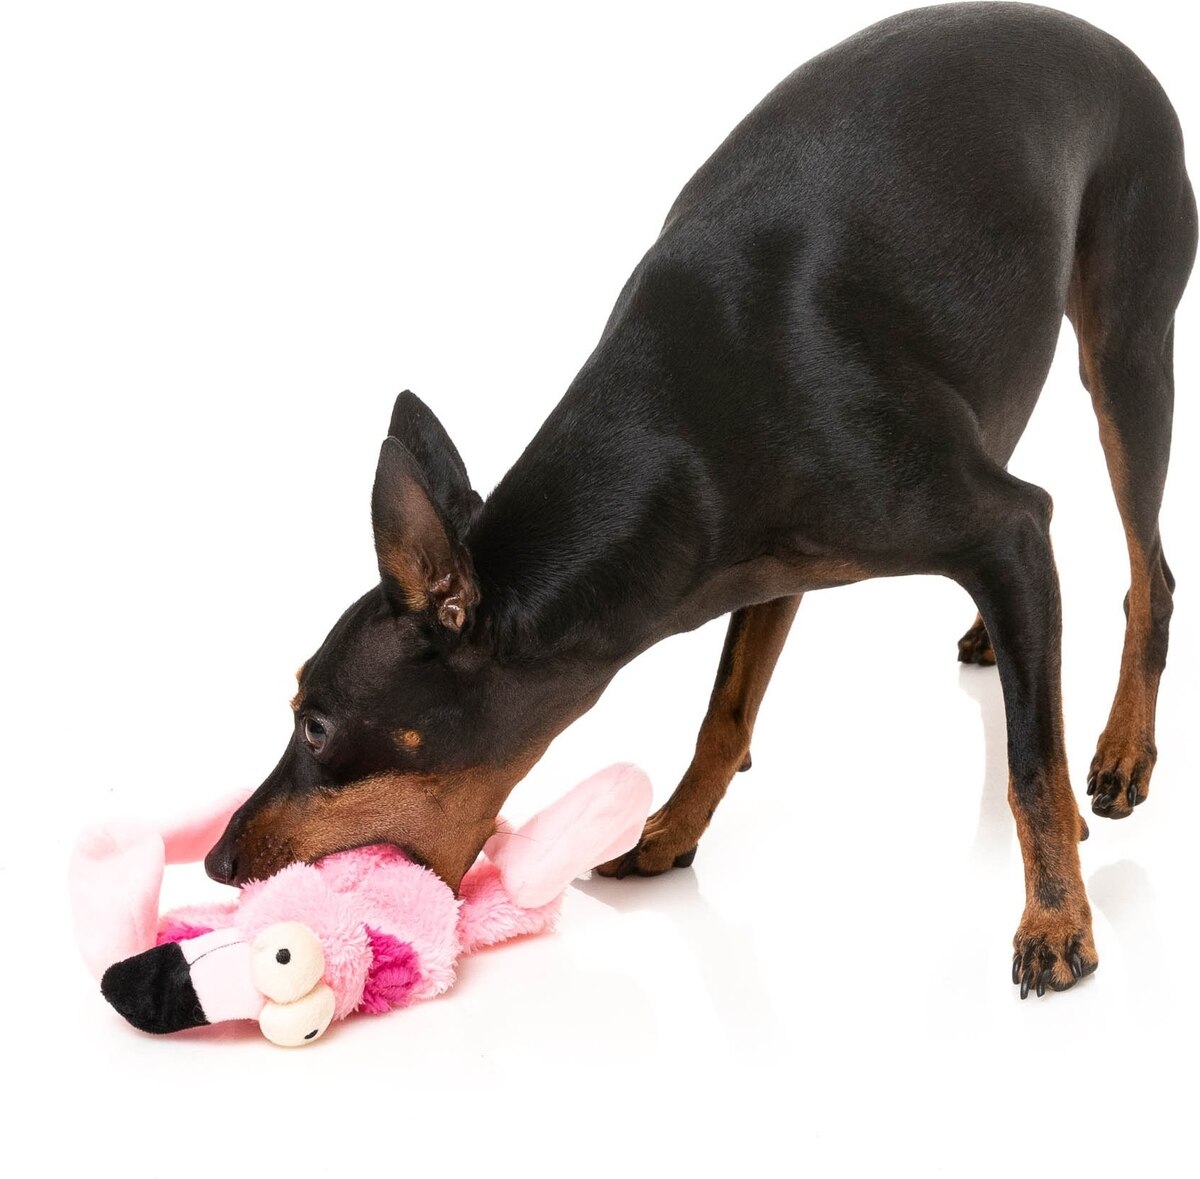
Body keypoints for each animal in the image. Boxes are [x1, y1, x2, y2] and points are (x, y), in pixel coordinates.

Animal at [205, 3, 1196, 998]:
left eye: (317, 725)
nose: (216, 859)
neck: (680, 435)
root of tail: (1105, 39)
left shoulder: (1005, 527)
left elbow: (1032, 762)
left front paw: (1057, 916)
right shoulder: (770, 566)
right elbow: (725, 712)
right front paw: (672, 830)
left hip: (1127, 358)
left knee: (1149, 569)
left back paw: (1121, 747)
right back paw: (996, 639)